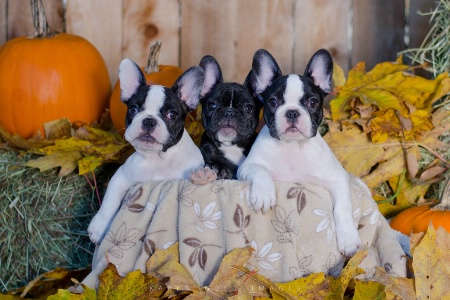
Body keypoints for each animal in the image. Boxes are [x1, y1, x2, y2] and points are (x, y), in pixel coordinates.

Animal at [88, 58, 204, 244]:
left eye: (171, 114)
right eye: (134, 109)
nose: (149, 120)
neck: (157, 158)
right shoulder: (121, 178)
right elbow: (109, 202)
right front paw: (99, 227)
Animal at [239, 48, 362, 255]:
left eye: (312, 102)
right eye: (273, 102)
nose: (292, 112)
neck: (293, 146)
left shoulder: (337, 177)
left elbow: (343, 207)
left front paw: (349, 238)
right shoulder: (246, 166)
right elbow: (260, 170)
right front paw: (264, 193)